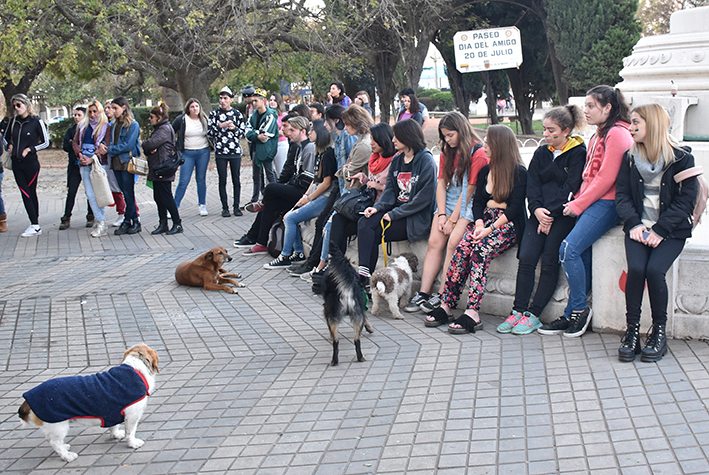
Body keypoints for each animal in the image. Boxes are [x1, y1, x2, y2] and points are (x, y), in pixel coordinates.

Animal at [18, 344, 160, 462]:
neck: (135, 368)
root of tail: (28, 397)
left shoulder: (112, 412)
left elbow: (113, 426)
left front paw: (115, 434)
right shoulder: (132, 415)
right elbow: (130, 432)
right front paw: (132, 443)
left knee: (52, 440)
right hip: (58, 426)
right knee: (54, 443)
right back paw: (67, 456)